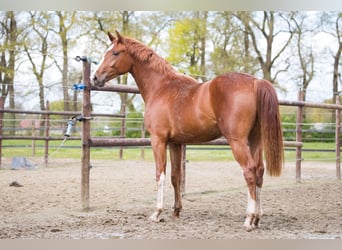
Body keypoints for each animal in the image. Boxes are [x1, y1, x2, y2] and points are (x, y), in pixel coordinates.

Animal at [91, 31, 284, 232]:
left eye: (115, 53)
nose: (95, 78)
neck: (161, 87)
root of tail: (255, 81)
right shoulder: (175, 143)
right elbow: (175, 177)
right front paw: (176, 211)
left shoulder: (158, 140)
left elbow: (160, 174)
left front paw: (157, 213)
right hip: (255, 140)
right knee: (259, 171)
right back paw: (257, 218)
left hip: (237, 141)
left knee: (249, 172)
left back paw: (249, 218)